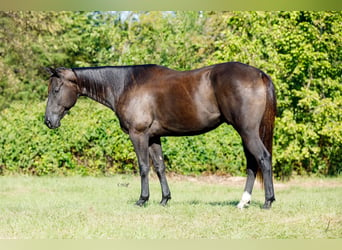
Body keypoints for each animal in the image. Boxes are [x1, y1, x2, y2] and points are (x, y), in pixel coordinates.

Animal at [44, 62, 276, 209]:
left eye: (55, 90)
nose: (48, 121)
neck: (125, 85)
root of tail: (259, 74)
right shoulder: (153, 137)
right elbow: (160, 166)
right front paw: (165, 199)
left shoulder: (138, 135)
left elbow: (143, 167)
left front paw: (142, 199)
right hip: (246, 133)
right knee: (252, 163)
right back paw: (243, 202)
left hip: (247, 132)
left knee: (263, 158)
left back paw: (268, 201)